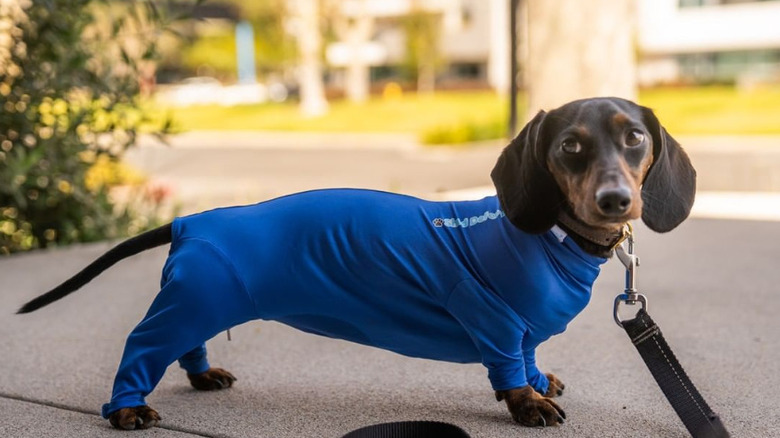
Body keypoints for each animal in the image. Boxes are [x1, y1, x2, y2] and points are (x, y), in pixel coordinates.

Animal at [19, 97, 696, 430]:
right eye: (569, 146)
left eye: (634, 137)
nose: (616, 200)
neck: (547, 237)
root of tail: (195, 221)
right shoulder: (494, 319)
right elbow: (507, 367)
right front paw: (526, 405)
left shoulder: (520, 327)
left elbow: (528, 358)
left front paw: (536, 384)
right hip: (189, 302)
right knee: (142, 346)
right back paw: (126, 408)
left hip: (202, 301)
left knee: (188, 344)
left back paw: (203, 376)